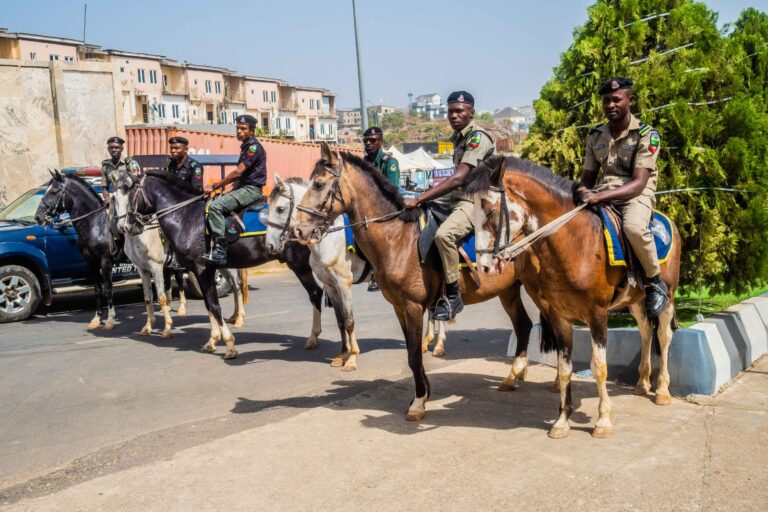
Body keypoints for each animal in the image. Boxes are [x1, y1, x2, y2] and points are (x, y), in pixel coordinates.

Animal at [292, 144, 536, 420]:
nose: (299, 230)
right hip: (508, 290)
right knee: (524, 325)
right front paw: (423, 393)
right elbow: (411, 353)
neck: (397, 238)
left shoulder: (413, 306)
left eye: (319, 184)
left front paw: (419, 401)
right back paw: (513, 376)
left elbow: (415, 354)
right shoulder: (399, 307)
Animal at [464, 154, 680, 438]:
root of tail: (669, 221)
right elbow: (565, 368)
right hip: (634, 300)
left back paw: (662, 389)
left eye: (489, 211)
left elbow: (599, 367)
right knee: (645, 333)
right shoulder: (559, 315)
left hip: (667, 298)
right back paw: (642, 382)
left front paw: (603, 420)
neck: (574, 244)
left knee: (664, 337)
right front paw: (561, 421)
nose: (485, 266)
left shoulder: (598, 314)